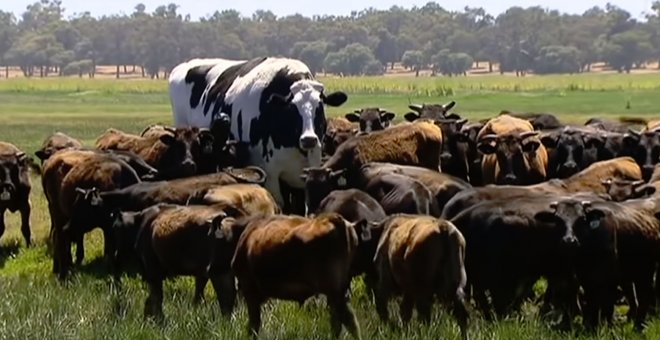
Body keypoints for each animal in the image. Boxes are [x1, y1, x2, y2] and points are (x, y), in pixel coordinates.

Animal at [211, 214, 374, 338]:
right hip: (338, 291)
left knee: (348, 320)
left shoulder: (250, 290)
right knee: (339, 322)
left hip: (334, 291)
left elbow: (254, 325)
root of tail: (337, 220)